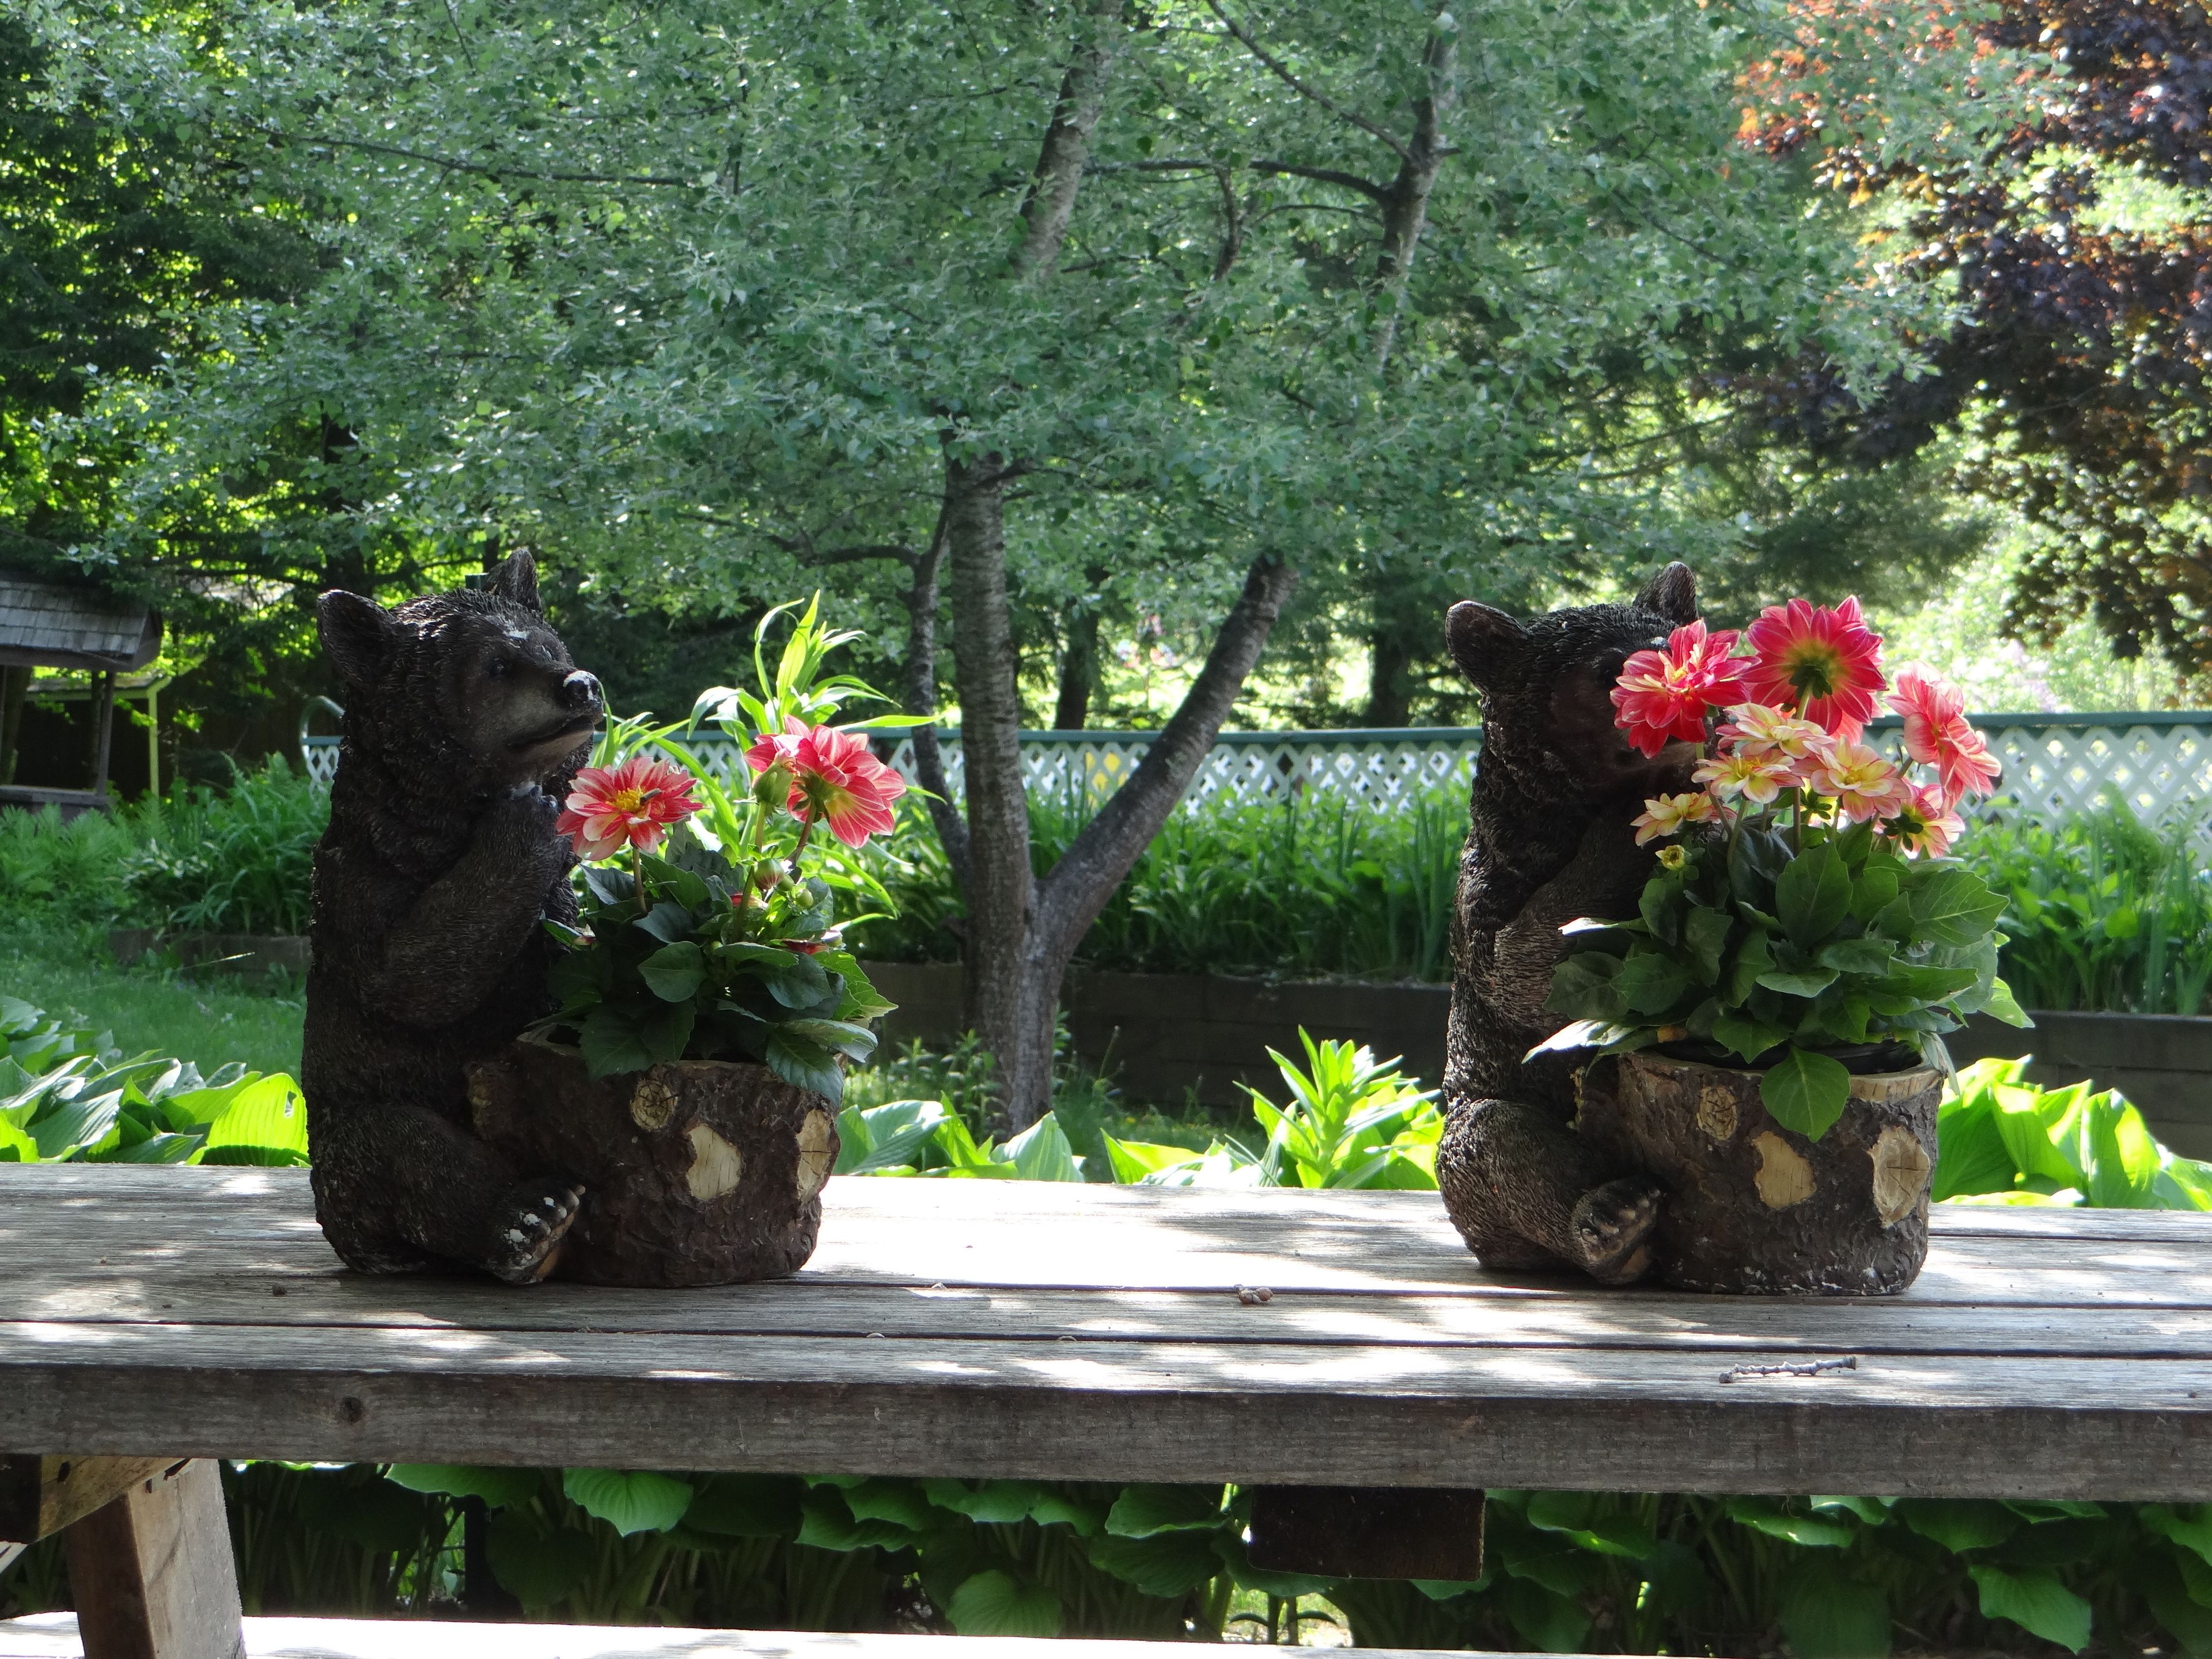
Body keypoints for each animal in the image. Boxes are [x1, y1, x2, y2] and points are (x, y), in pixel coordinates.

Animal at [303, 551, 603, 1282]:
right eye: (497, 666)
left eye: (551, 648)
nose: (580, 685)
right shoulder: (359, 882)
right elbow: (411, 978)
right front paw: (529, 821)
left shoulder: (554, 909)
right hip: (347, 1137)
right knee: (405, 1148)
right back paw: (531, 1220)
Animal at [1434, 562, 1704, 1284]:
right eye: (1607, 670)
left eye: (1683, 647)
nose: (1686, 706)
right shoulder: (1492, 892)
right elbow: (1527, 974)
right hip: (1475, 1139)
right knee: (1498, 1140)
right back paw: (1612, 1223)